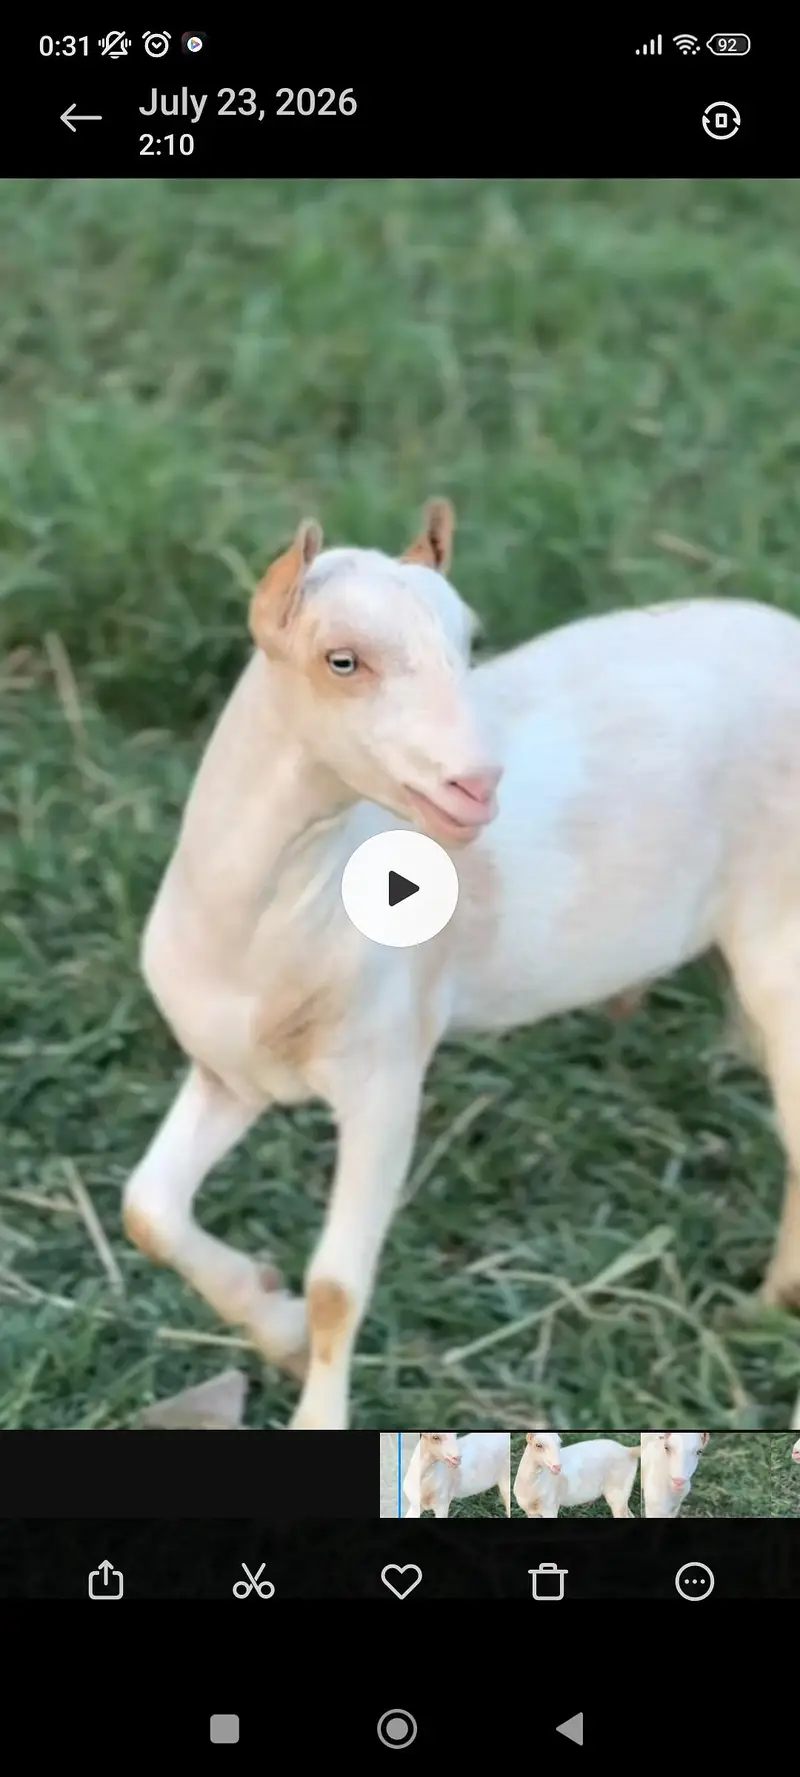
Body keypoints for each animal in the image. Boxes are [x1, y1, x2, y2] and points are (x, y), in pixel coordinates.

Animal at [124, 496, 800, 1428]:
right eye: (342, 660)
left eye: (469, 640)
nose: (477, 785)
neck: (262, 926)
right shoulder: (234, 1071)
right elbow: (147, 1208)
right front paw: (272, 1318)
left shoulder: (384, 1075)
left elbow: (337, 1284)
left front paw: (315, 1397)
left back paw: (769, 1304)